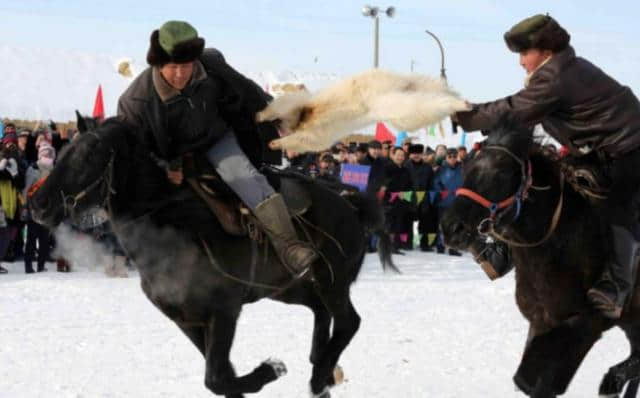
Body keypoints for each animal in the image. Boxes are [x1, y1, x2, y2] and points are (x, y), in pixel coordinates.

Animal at [32, 116, 398, 396]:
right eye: (64, 151)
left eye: (90, 155)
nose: (39, 204)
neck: (173, 228)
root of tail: (350, 202)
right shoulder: (186, 320)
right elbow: (223, 379)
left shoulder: (223, 312)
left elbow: (217, 378)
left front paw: (272, 368)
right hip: (288, 287)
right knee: (321, 311)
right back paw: (322, 368)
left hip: (331, 280)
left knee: (348, 321)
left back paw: (320, 374)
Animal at [440, 123, 640, 396]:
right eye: (466, 167)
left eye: (501, 172)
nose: (452, 228)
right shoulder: (540, 322)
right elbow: (529, 381)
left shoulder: (584, 325)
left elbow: (534, 379)